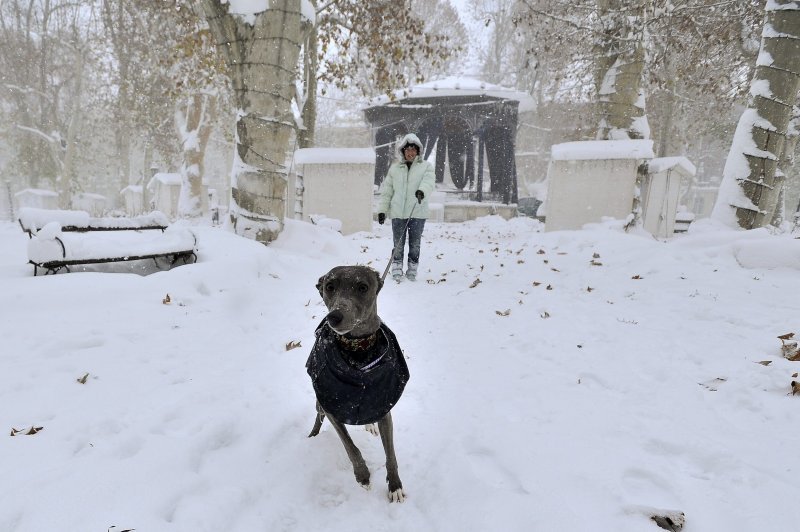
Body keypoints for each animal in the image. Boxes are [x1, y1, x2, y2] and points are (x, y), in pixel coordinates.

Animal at [304, 266, 410, 502]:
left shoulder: (383, 409)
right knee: (317, 416)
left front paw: (395, 485)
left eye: (363, 287)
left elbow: (391, 454)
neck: (358, 350)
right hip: (320, 403)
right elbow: (350, 447)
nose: (334, 317)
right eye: (329, 286)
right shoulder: (331, 408)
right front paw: (363, 476)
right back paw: (312, 436)